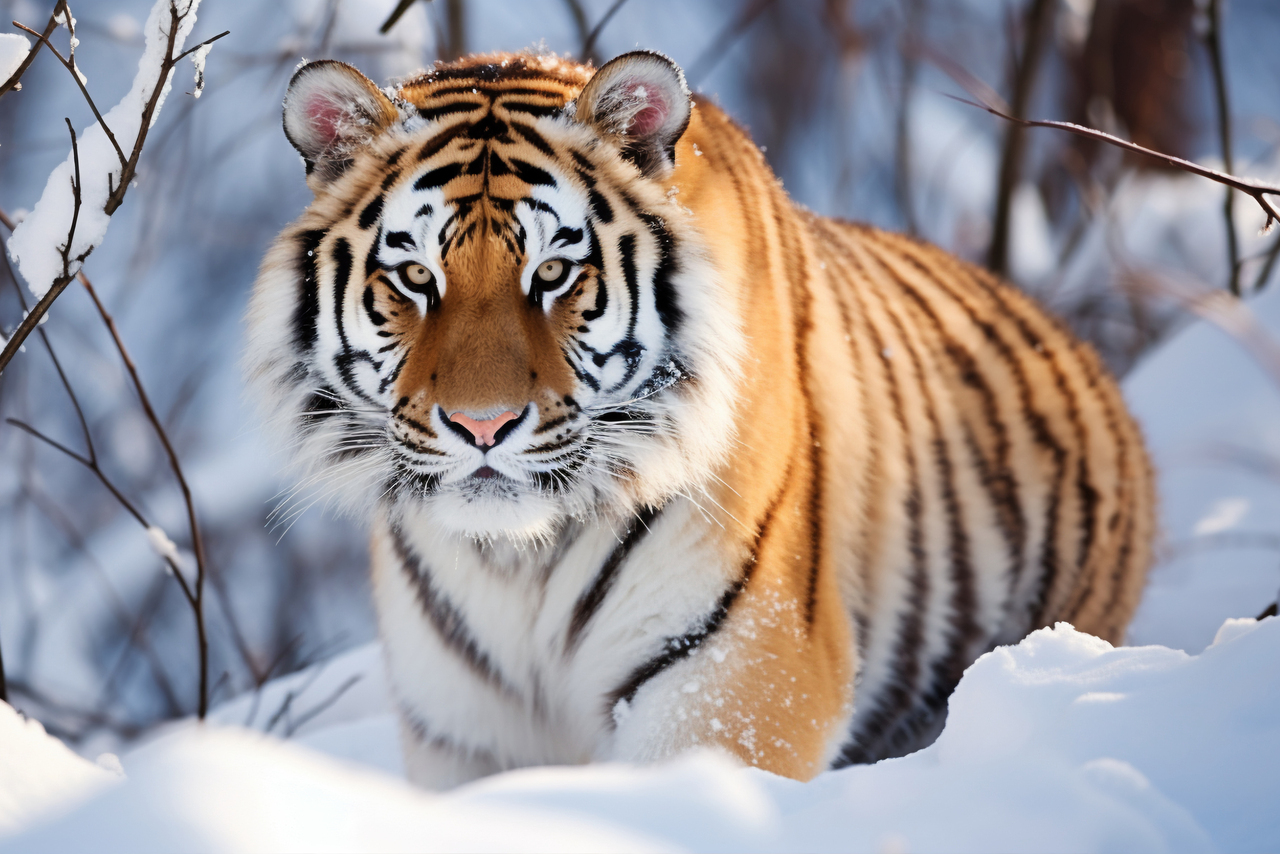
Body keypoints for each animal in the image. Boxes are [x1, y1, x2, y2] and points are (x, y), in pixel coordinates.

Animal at [245, 49, 1154, 788]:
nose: (483, 426)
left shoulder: (735, 676)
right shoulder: (464, 730)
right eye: (414, 277)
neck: (518, 563)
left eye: (553, 273)